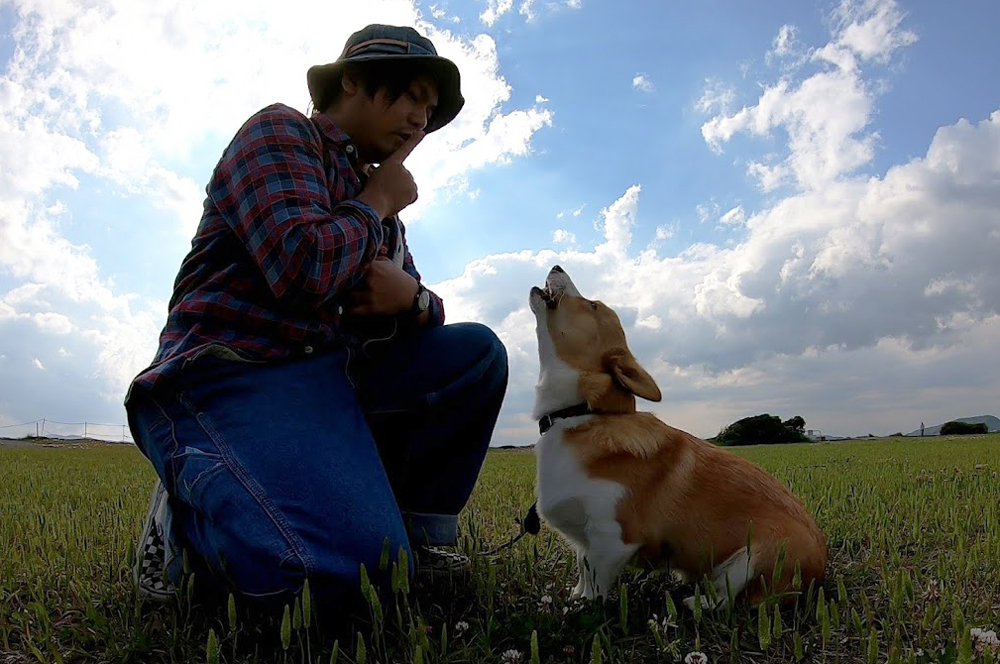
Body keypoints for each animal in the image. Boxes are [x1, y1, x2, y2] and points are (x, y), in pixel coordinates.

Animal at [528, 268, 824, 608]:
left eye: (592, 306)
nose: (557, 266)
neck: (580, 414)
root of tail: (819, 575)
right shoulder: (586, 539)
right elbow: (582, 567)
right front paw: (574, 597)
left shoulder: (612, 538)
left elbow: (596, 581)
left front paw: (584, 607)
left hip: (757, 554)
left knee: (730, 599)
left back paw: (695, 602)